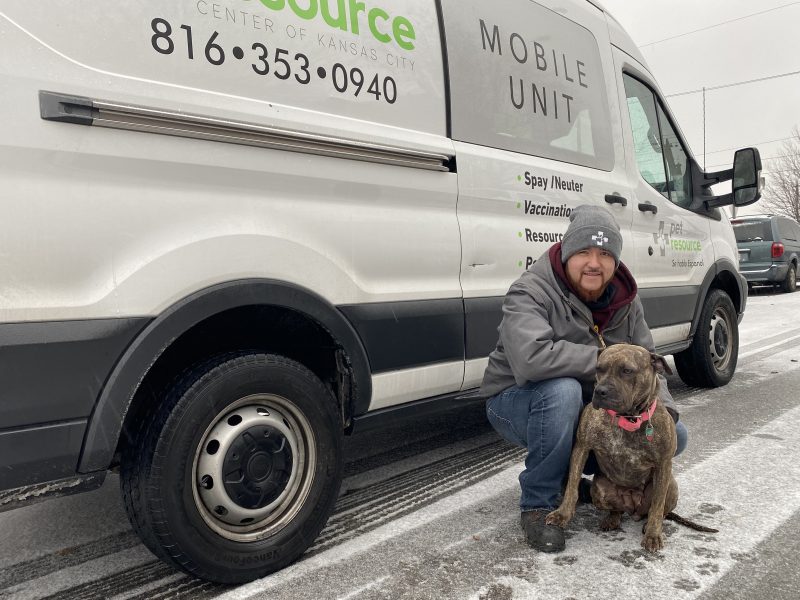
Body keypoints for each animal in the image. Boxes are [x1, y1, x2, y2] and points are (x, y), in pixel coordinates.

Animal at [548, 344, 716, 552]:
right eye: (599, 369)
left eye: (627, 371)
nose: (601, 391)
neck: (628, 418)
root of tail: (633, 509)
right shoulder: (582, 447)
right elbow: (572, 488)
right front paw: (562, 514)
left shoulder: (663, 463)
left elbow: (657, 505)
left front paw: (653, 534)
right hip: (599, 490)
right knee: (617, 511)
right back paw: (612, 519)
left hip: (670, 486)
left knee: (660, 510)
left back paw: (649, 525)